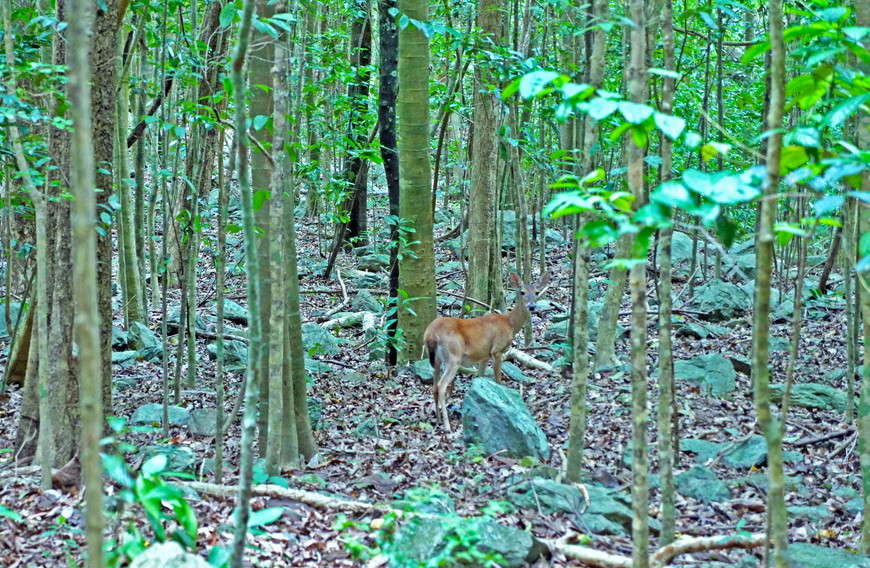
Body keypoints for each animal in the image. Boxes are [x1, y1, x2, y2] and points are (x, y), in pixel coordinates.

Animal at [422, 270, 552, 430]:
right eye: (522, 292)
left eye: (537, 292)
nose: (532, 306)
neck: (509, 323)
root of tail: (431, 334)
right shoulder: (497, 350)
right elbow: (498, 380)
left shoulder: (484, 356)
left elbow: (481, 378)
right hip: (453, 357)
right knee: (441, 386)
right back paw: (447, 425)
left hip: (436, 359)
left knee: (434, 386)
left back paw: (439, 420)